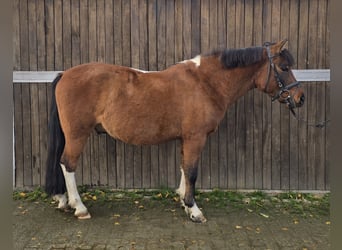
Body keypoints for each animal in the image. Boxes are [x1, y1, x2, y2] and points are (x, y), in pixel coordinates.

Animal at [44, 39, 304, 223]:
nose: (300, 98)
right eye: (284, 67)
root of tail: (65, 74)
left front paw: (182, 200)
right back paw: (79, 207)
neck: (205, 83)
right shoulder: (196, 137)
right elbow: (192, 171)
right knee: (68, 164)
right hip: (77, 135)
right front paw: (193, 209)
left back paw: (64, 200)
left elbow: (183, 168)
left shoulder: (186, 138)